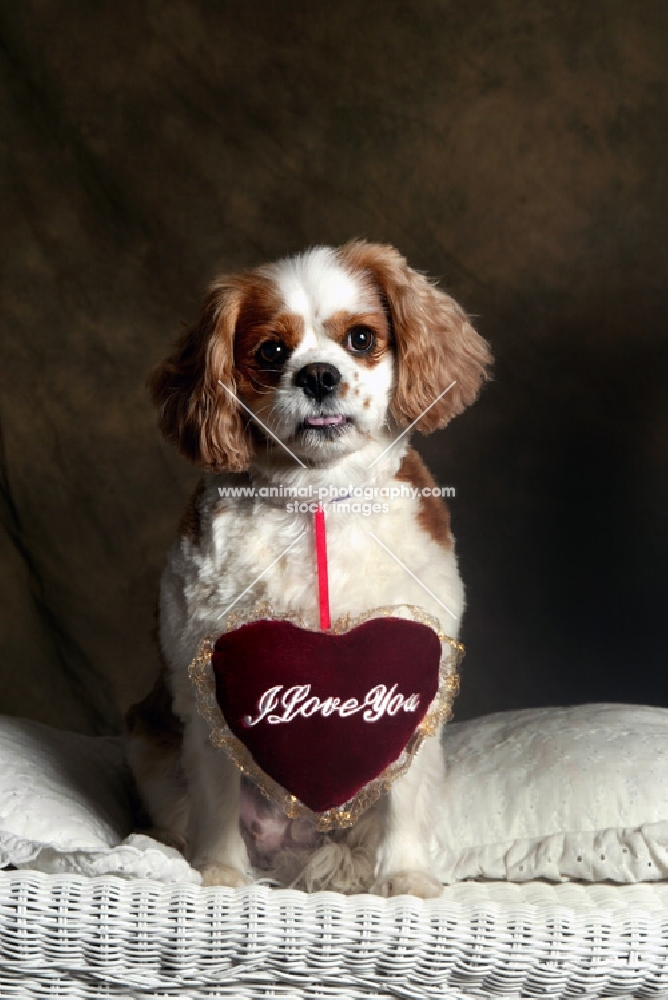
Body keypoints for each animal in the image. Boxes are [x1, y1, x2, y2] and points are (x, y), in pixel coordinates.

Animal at [125, 242, 490, 900]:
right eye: (271, 352)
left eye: (362, 338)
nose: (318, 374)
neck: (316, 497)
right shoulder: (208, 682)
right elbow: (217, 800)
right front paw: (219, 873)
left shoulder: (421, 673)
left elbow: (405, 798)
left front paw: (405, 878)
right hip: (148, 744)